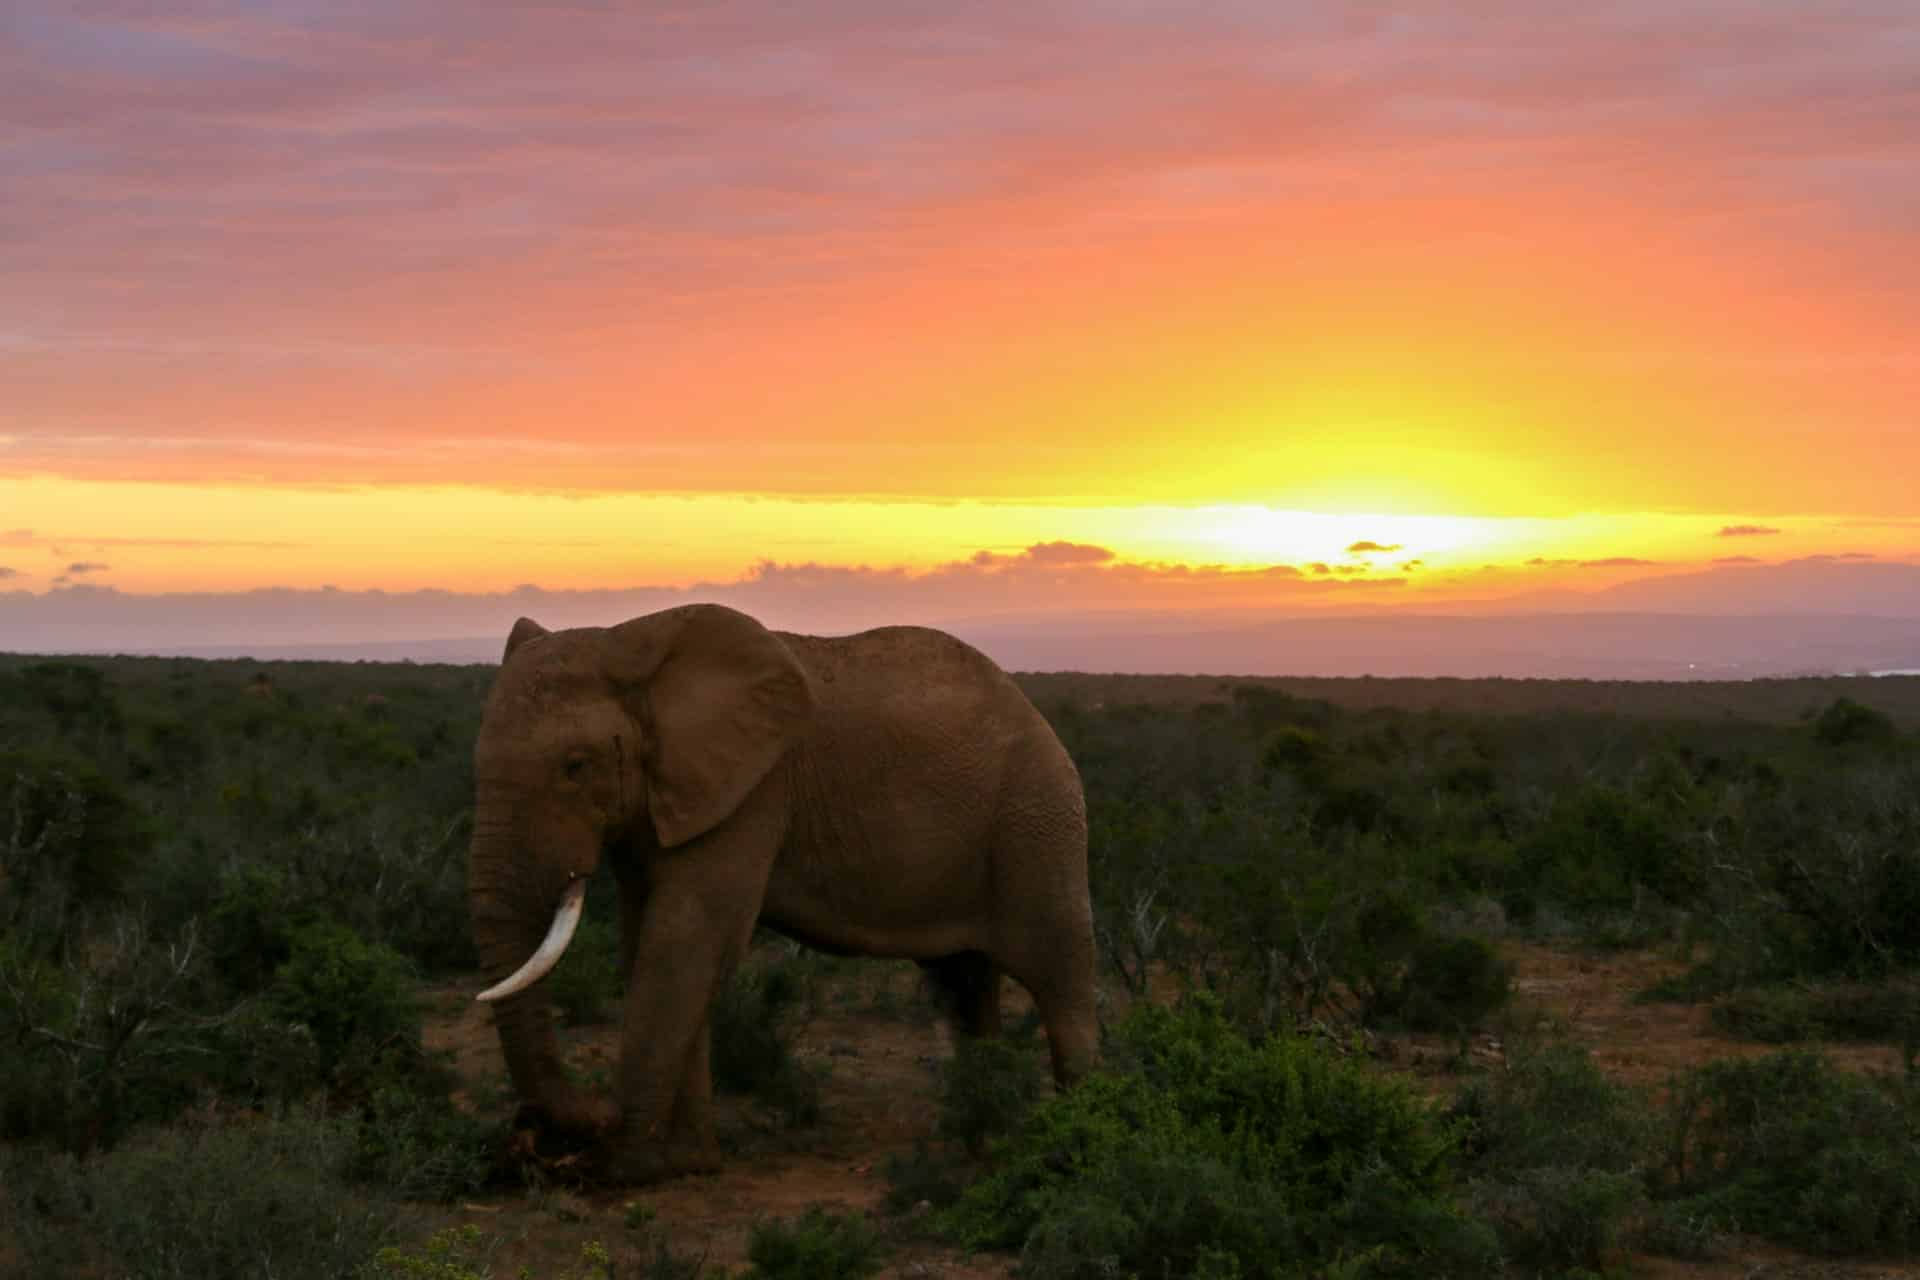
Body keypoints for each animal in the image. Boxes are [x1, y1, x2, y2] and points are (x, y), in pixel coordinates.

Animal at [467, 603, 1098, 1184]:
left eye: (575, 766)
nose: (535, 1139)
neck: (631, 640)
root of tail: (1036, 712)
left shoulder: (753, 794)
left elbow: (688, 941)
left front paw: (625, 1168)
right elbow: (650, 941)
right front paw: (687, 1163)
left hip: (1037, 820)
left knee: (1057, 976)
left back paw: (1072, 1144)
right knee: (963, 983)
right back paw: (981, 1139)